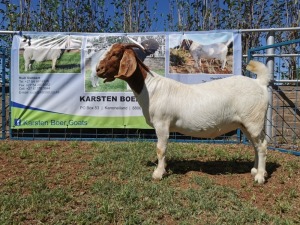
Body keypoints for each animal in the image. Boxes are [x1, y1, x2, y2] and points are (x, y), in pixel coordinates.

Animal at [97, 43, 270, 184]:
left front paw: (158, 173)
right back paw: (255, 170)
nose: (98, 69)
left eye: (116, 53)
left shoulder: (162, 124)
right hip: (246, 123)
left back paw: (260, 177)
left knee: (262, 146)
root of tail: (259, 83)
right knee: (256, 145)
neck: (151, 88)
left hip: (253, 120)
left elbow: (160, 149)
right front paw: (163, 169)